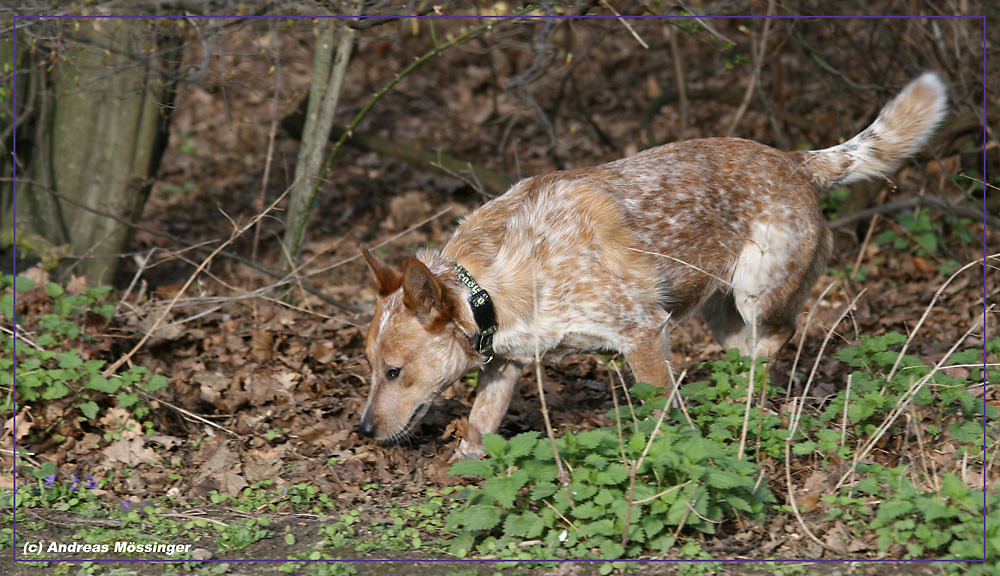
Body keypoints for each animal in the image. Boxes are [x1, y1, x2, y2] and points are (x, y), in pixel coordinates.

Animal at [358, 73, 944, 460]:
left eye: (394, 372)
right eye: (370, 368)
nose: (361, 431)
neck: (486, 287)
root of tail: (798, 161)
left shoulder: (641, 332)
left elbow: (663, 413)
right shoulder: (507, 362)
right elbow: (478, 431)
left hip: (756, 292)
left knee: (777, 337)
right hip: (720, 312)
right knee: (744, 353)